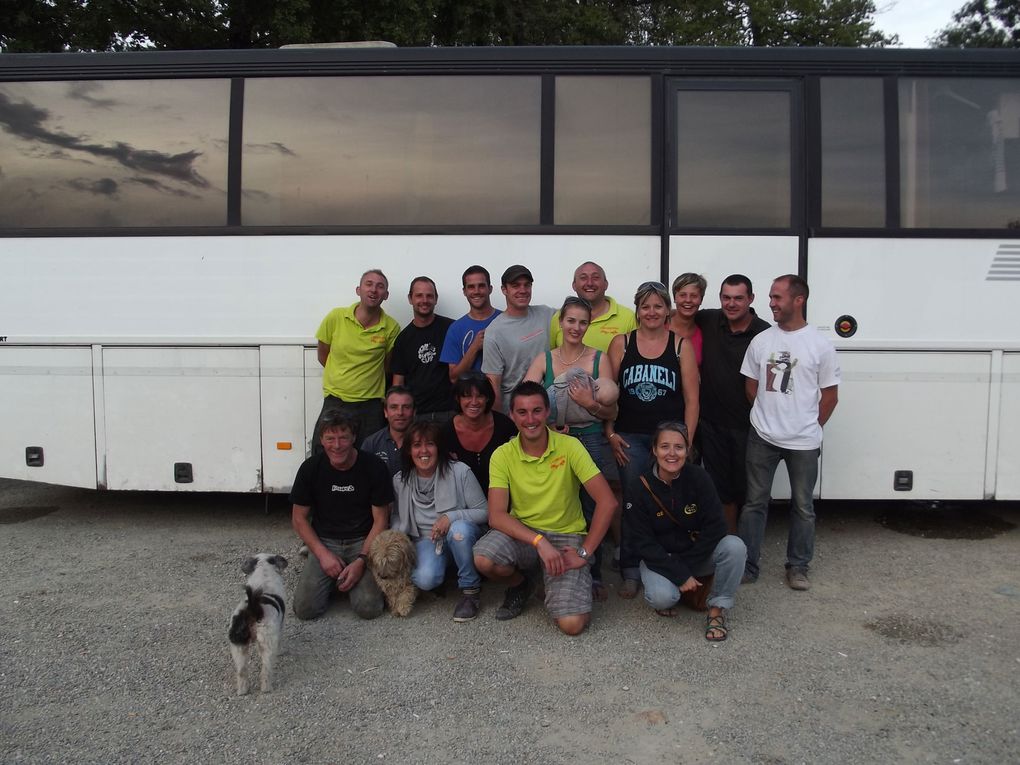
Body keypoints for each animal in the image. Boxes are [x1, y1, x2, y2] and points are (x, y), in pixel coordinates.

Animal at [226, 554, 285, 697]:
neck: (264, 571)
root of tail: (252, 609)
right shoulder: (279, 628)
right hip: (267, 643)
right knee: (266, 670)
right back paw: (266, 688)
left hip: (238, 646)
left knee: (241, 671)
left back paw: (242, 691)